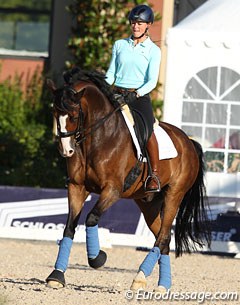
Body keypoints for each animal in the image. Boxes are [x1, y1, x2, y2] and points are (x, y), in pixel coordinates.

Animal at [45, 67, 210, 290]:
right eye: (54, 113)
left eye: (73, 115)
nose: (66, 150)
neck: (98, 138)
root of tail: (189, 142)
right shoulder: (77, 187)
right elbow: (70, 227)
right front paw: (56, 275)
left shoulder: (112, 190)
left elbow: (91, 218)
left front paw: (97, 258)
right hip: (149, 204)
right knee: (164, 237)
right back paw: (162, 285)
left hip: (174, 195)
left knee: (163, 235)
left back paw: (140, 277)